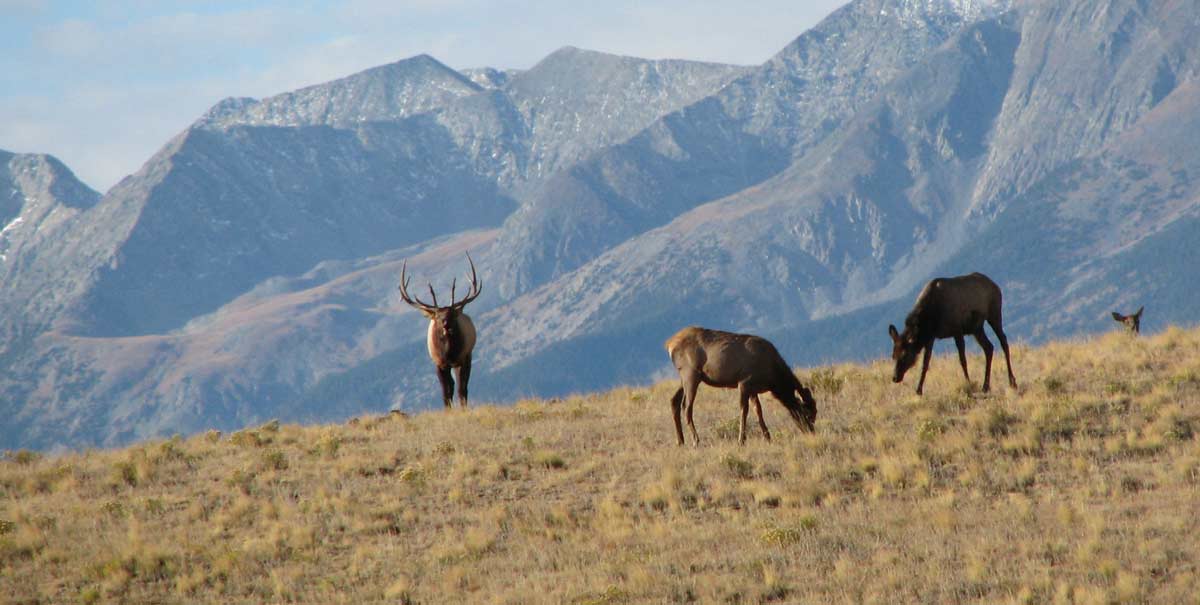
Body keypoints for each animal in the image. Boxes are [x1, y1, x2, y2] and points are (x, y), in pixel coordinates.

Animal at [398, 252, 482, 408]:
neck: (449, 353)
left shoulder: (462, 358)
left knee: (463, 386)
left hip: (468, 356)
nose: (446, 325)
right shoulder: (439, 363)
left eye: (452, 314)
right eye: (438, 316)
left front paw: (463, 408)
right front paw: (448, 409)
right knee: (452, 385)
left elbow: (461, 389)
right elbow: (445, 392)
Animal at [665, 326, 817, 446]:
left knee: (674, 401)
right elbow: (744, 410)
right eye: (807, 414)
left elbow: (758, 410)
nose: (811, 432)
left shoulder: (753, 389)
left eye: (815, 414)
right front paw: (741, 440)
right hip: (690, 374)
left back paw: (680, 441)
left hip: (685, 377)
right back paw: (695, 440)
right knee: (686, 406)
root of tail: (669, 345)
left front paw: (767, 437)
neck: (773, 378)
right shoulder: (744, 382)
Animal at [887, 272, 1017, 395]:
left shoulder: (957, 330)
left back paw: (1012, 382)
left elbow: (963, 360)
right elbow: (925, 363)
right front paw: (919, 390)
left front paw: (968, 384)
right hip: (976, 328)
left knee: (1003, 342)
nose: (895, 377)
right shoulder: (931, 337)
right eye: (893, 355)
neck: (928, 320)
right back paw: (985, 386)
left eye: (905, 355)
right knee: (989, 347)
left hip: (994, 314)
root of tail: (996, 286)